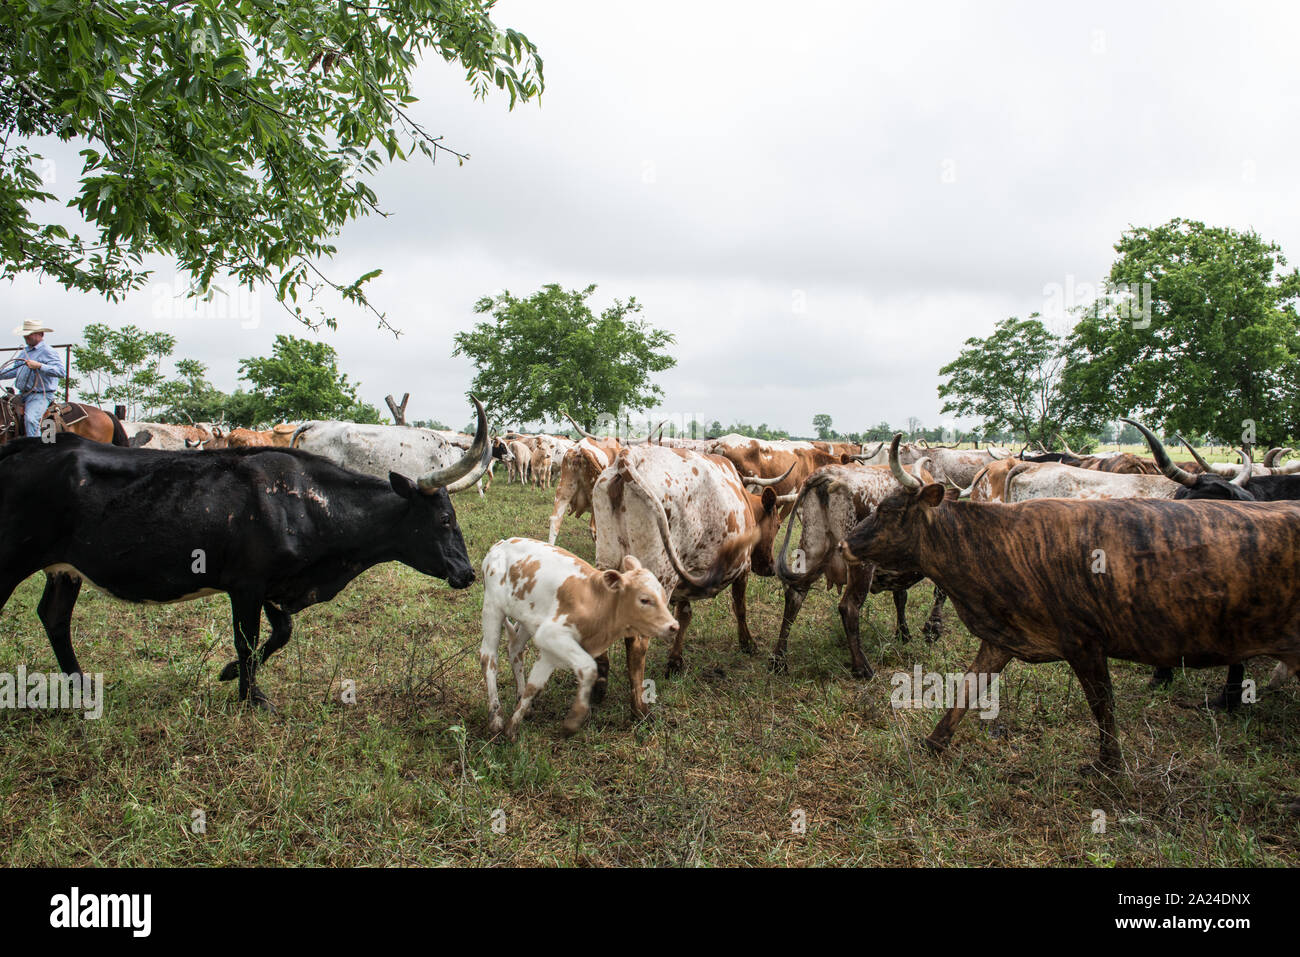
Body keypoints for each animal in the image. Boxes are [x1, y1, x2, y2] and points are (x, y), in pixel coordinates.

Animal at [0, 400, 493, 710]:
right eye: (444, 519)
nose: (468, 573)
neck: (305, 501)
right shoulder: (247, 586)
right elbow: (249, 639)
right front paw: (251, 696)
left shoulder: (276, 588)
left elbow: (279, 636)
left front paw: (229, 675)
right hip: (12, 561)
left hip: (64, 569)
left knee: (54, 617)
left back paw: (81, 686)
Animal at [479, 538, 680, 737]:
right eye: (644, 600)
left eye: (664, 597)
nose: (674, 626)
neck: (598, 602)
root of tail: (501, 544)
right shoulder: (553, 634)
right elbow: (589, 667)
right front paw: (574, 719)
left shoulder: (549, 648)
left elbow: (534, 686)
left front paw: (512, 727)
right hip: (492, 608)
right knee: (488, 657)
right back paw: (495, 717)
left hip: (525, 620)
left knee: (515, 650)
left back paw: (518, 699)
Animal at [590, 444, 794, 708]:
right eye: (778, 524)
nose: (770, 567)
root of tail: (628, 457)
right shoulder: (743, 568)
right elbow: (740, 607)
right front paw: (747, 643)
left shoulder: (684, 579)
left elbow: (684, 617)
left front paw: (675, 661)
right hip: (659, 576)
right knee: (637, 642)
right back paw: (640, 708)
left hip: (609, 561)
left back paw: (598, 689)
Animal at [772, 459, 948, 677]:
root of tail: (829, 473)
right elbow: (939, 592)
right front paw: (933, 629)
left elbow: (901, 596)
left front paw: (903, 633)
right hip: (861, 562)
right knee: (848, 607)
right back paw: (862, 668)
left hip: (811, 547)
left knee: (794, 596)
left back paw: (779, 660)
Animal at [839, 435, 1300, 772]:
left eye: (889, 510)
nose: (845, 544)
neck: (995, 542)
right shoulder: (1003, 637)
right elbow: (968, 688)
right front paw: (934, 742)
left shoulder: (1084, 644)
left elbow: (1102, 706)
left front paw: (1109, 765)